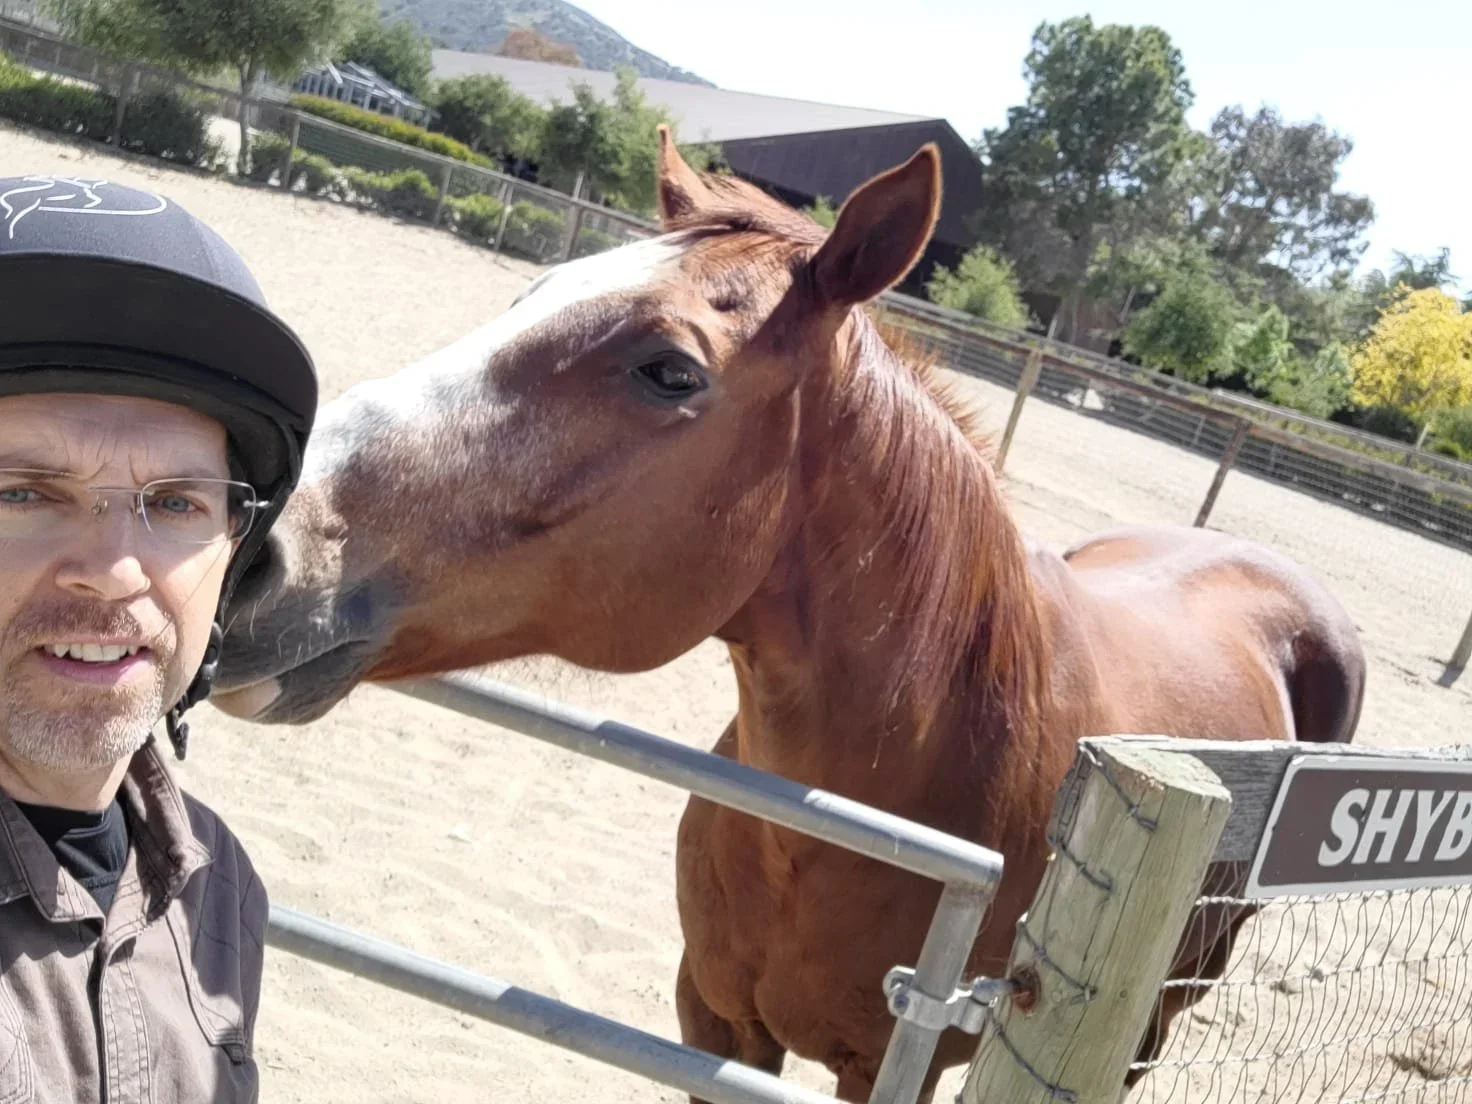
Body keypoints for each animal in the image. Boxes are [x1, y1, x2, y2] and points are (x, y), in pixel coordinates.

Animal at [210, 128, 1365, 1102]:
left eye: (667, 369)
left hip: (1162, 1016)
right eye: (531, 294)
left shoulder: (890, 1066)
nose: (256, 550)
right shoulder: (715, 1024)